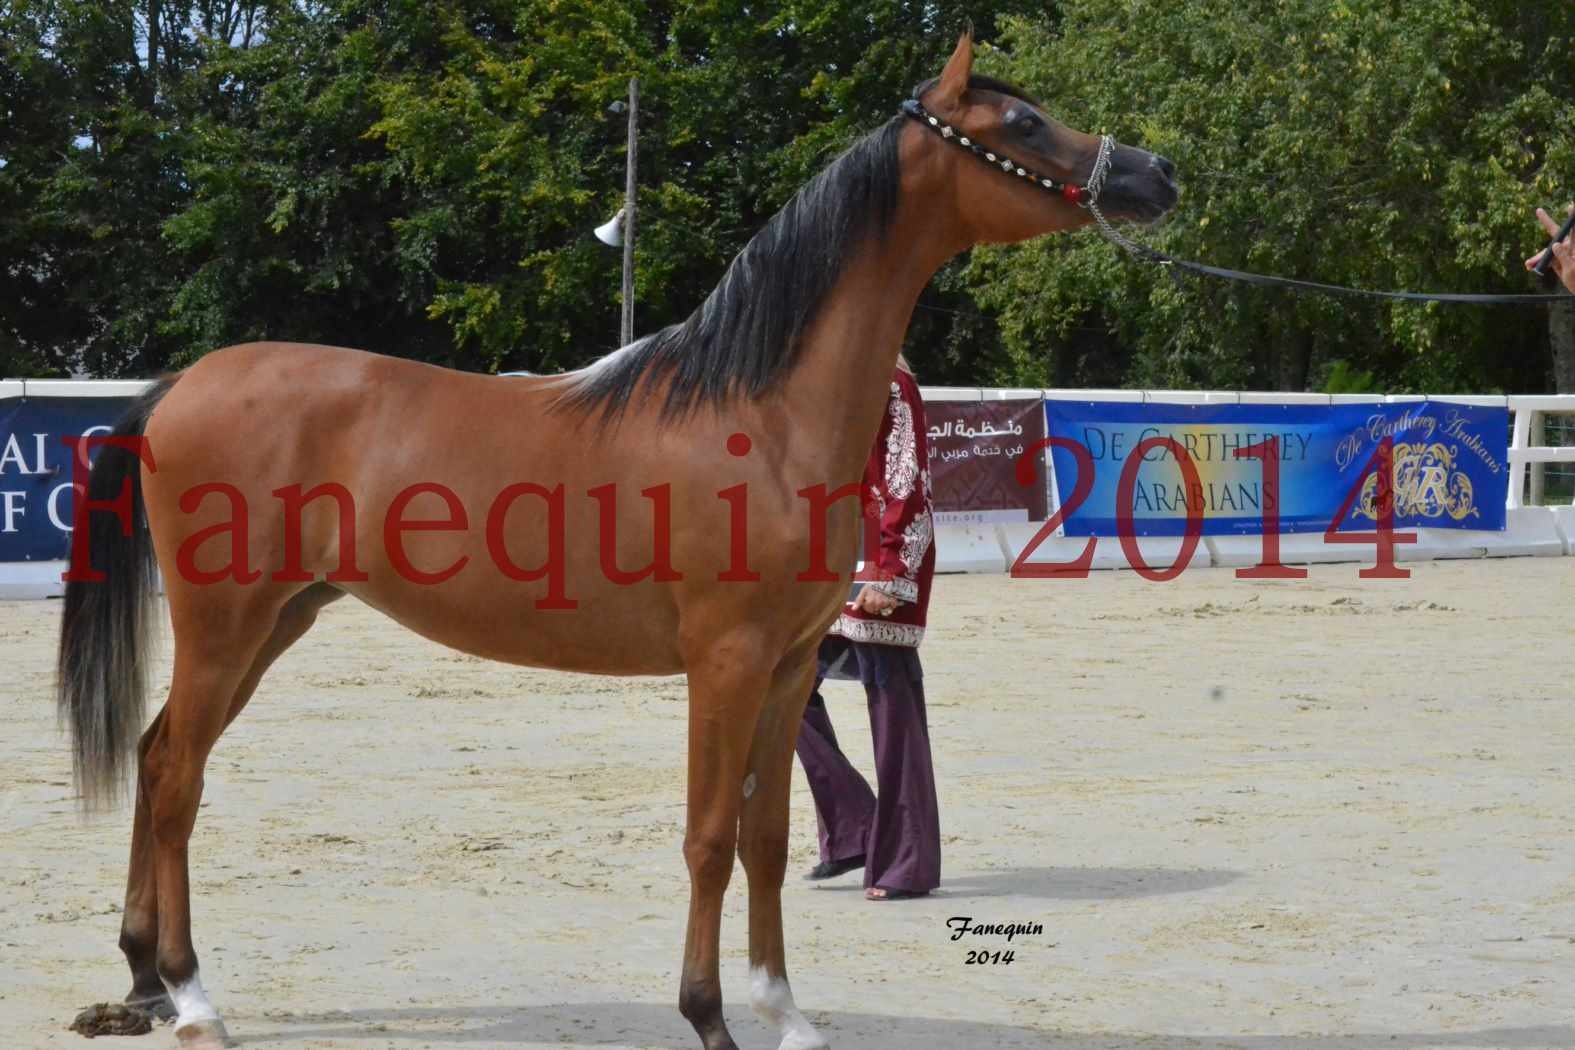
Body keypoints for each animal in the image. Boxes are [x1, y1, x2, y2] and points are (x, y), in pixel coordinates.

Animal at [58, 32, 1171, 1050]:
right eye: (1021, 121)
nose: (1154, 174)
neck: (763, 412)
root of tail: (176, 389)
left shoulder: (789, 667)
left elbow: (770, 837)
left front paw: (786, 1014)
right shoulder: (725, 665)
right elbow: (710, 839)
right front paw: (710, 1017)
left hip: (278, 619)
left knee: (158, 753)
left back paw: (144, 983)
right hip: (225, 624)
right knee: (177, 778)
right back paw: (194, 997)